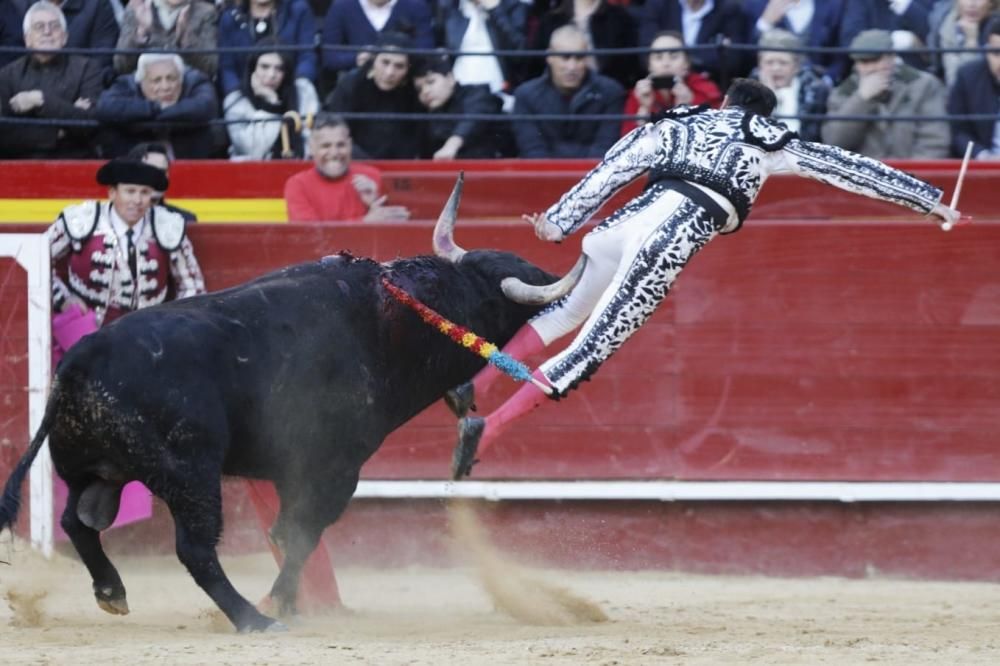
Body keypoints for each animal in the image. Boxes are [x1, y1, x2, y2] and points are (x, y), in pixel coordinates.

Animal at [0, 178, 580, 632]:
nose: (557, 287)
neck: (399, 319)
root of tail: (80, 363)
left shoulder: (293, 470)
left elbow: (289, 534)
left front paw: (295, 601)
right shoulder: (331, 467)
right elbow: (300, 534)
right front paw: (282, 601)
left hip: (97, 469)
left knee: (80, 522)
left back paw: (112, 592)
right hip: (190, 473)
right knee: (193, 548)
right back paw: (252, 619)